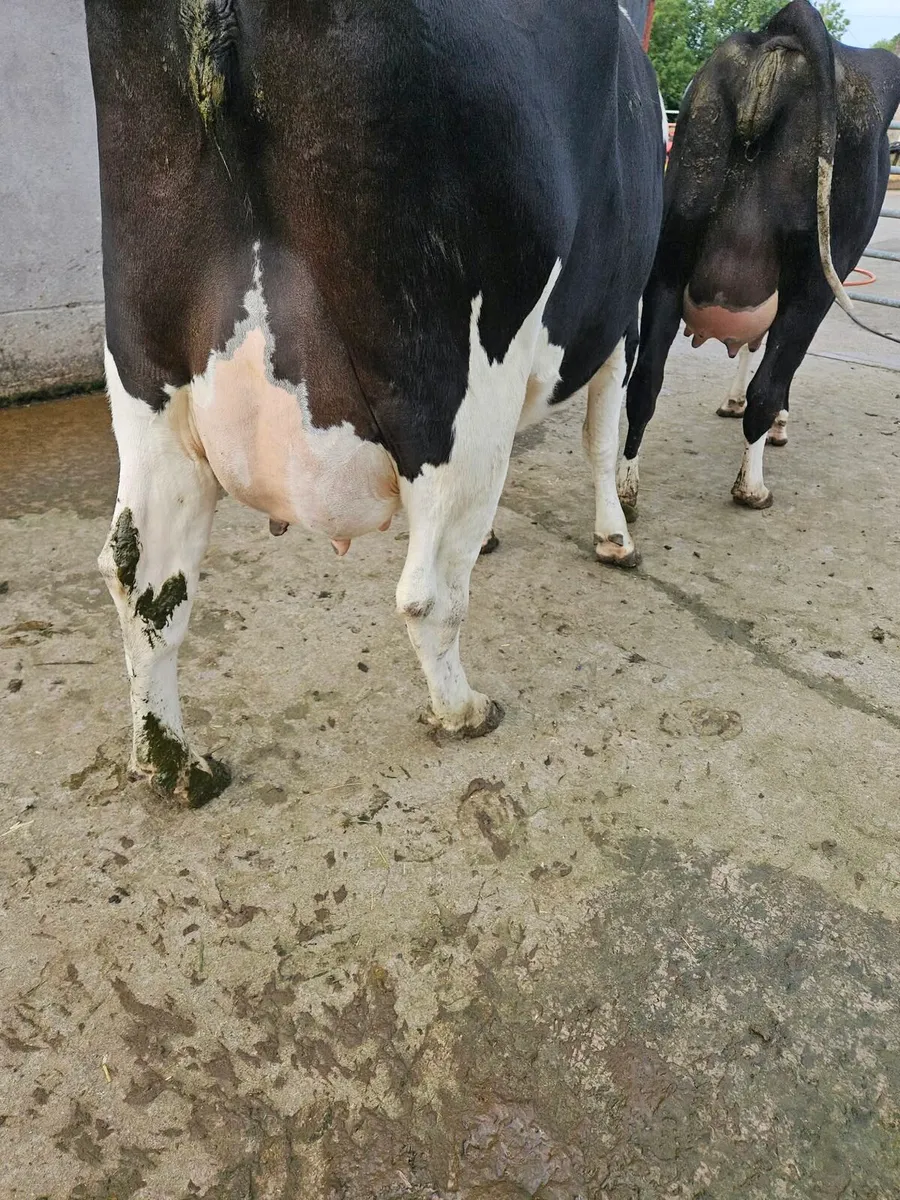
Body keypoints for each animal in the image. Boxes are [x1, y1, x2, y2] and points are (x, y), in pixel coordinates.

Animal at [84, 0, 665, 804]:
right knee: (428, 592)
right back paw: (464, 709)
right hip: (452, 380)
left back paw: (175, 764)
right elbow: (604, 437)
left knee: (141, 580)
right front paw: (616, 536)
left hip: (147, 376)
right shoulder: (618, 320)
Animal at [617, 0, 900, 529]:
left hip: (670, 252)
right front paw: (773, 422)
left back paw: (625, 495)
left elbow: (751, 340)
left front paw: (731, 398)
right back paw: (752, 487)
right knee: (769, 385)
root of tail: (784, 29)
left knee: (645, 380)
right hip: (817, 278)